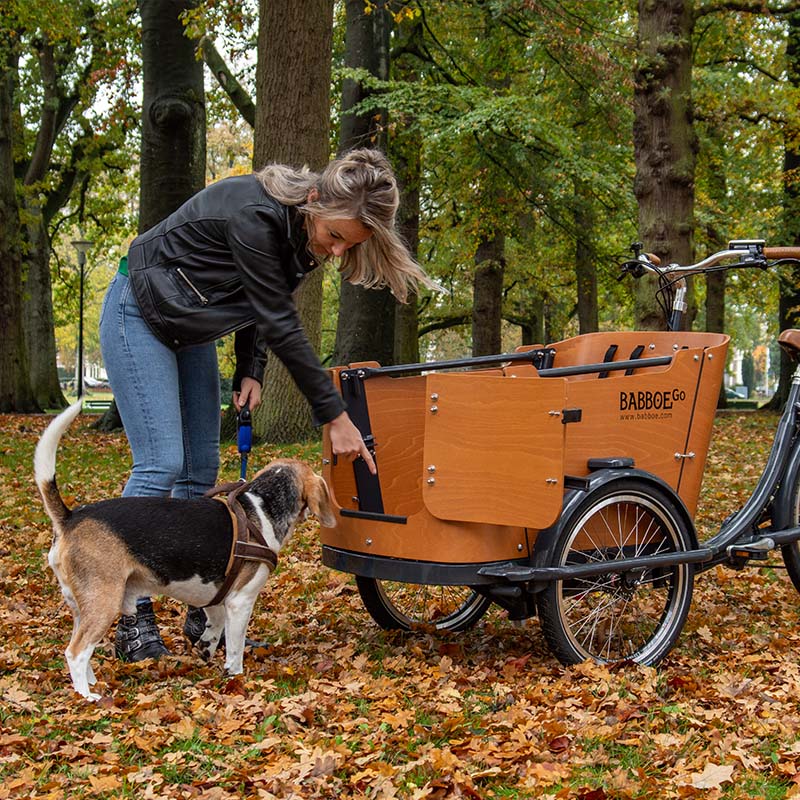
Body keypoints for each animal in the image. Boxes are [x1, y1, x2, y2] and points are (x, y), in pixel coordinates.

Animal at [33, 404, 334, 696]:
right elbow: (235, 649)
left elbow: (214, 625)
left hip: (81, 605)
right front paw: (236, 677)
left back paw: (92, 684)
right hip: (104, 600)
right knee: (75, 652)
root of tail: (70, 517)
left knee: (81, 649)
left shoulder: (216, 598)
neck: (261, 506)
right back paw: (87, 697)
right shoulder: (241, 600)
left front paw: (206, 647)